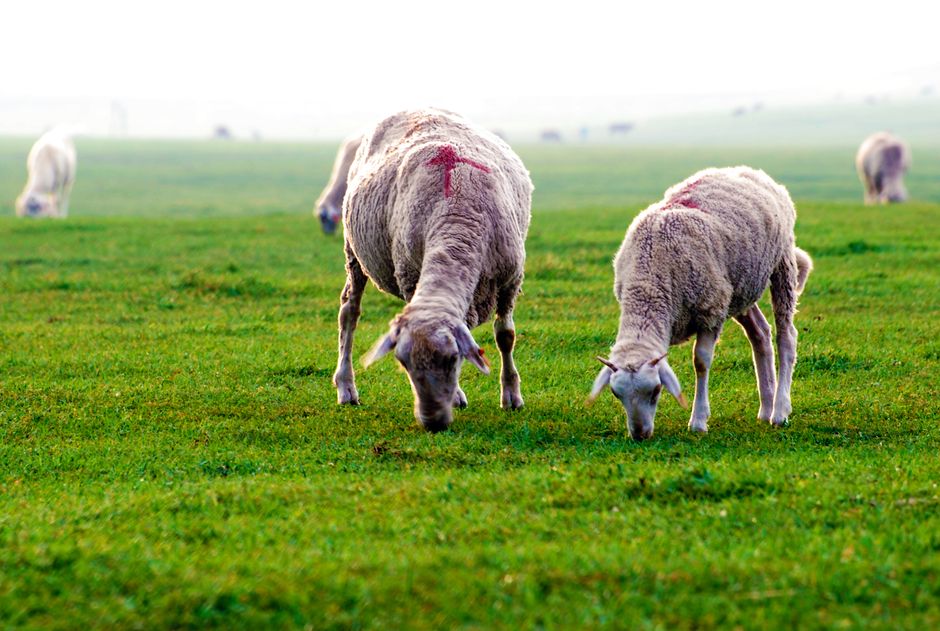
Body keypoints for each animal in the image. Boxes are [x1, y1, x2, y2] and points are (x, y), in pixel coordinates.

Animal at [331, 108, 533, 431]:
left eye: (453, 360)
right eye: (403, 364)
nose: (432, 422)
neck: (457, 221)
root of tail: (413, 108)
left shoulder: (510, 280)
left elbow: (505, 336)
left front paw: (512, 396)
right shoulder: (410, 276)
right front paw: (459, 396)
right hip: (354, 252)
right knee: (349, 312)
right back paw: (346, 387)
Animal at [589, 166, 812, 441]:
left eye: (656, 390)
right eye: (616, 394)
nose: (640, 435)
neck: (649, 284)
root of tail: (747, 170)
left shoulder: (711, 311)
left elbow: (701, 362)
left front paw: (698, 420)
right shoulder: (720, 300)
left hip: (781, 264)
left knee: (786, 336)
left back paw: (780, 412)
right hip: (739, 288)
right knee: (760, 333)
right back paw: (766, 407)